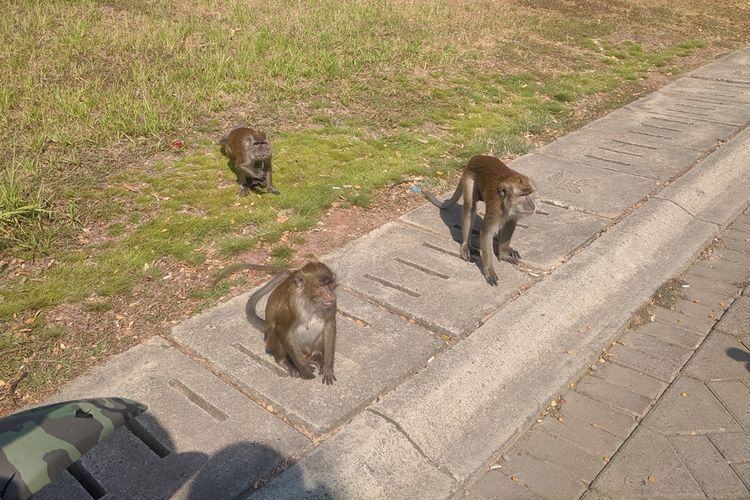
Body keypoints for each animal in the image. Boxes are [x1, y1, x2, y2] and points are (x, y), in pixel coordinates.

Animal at [426, 154, 536, 288]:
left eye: (530, 193)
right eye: (523, 195)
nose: (532, 205)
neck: (507, 205)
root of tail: (477, 157)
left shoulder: (513, 212)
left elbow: (510, 223)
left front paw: (503, 253)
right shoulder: (496, 209)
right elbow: (486, 233)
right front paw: (489, 271)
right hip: (469, 178)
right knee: (470, 207)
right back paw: (466, 245)